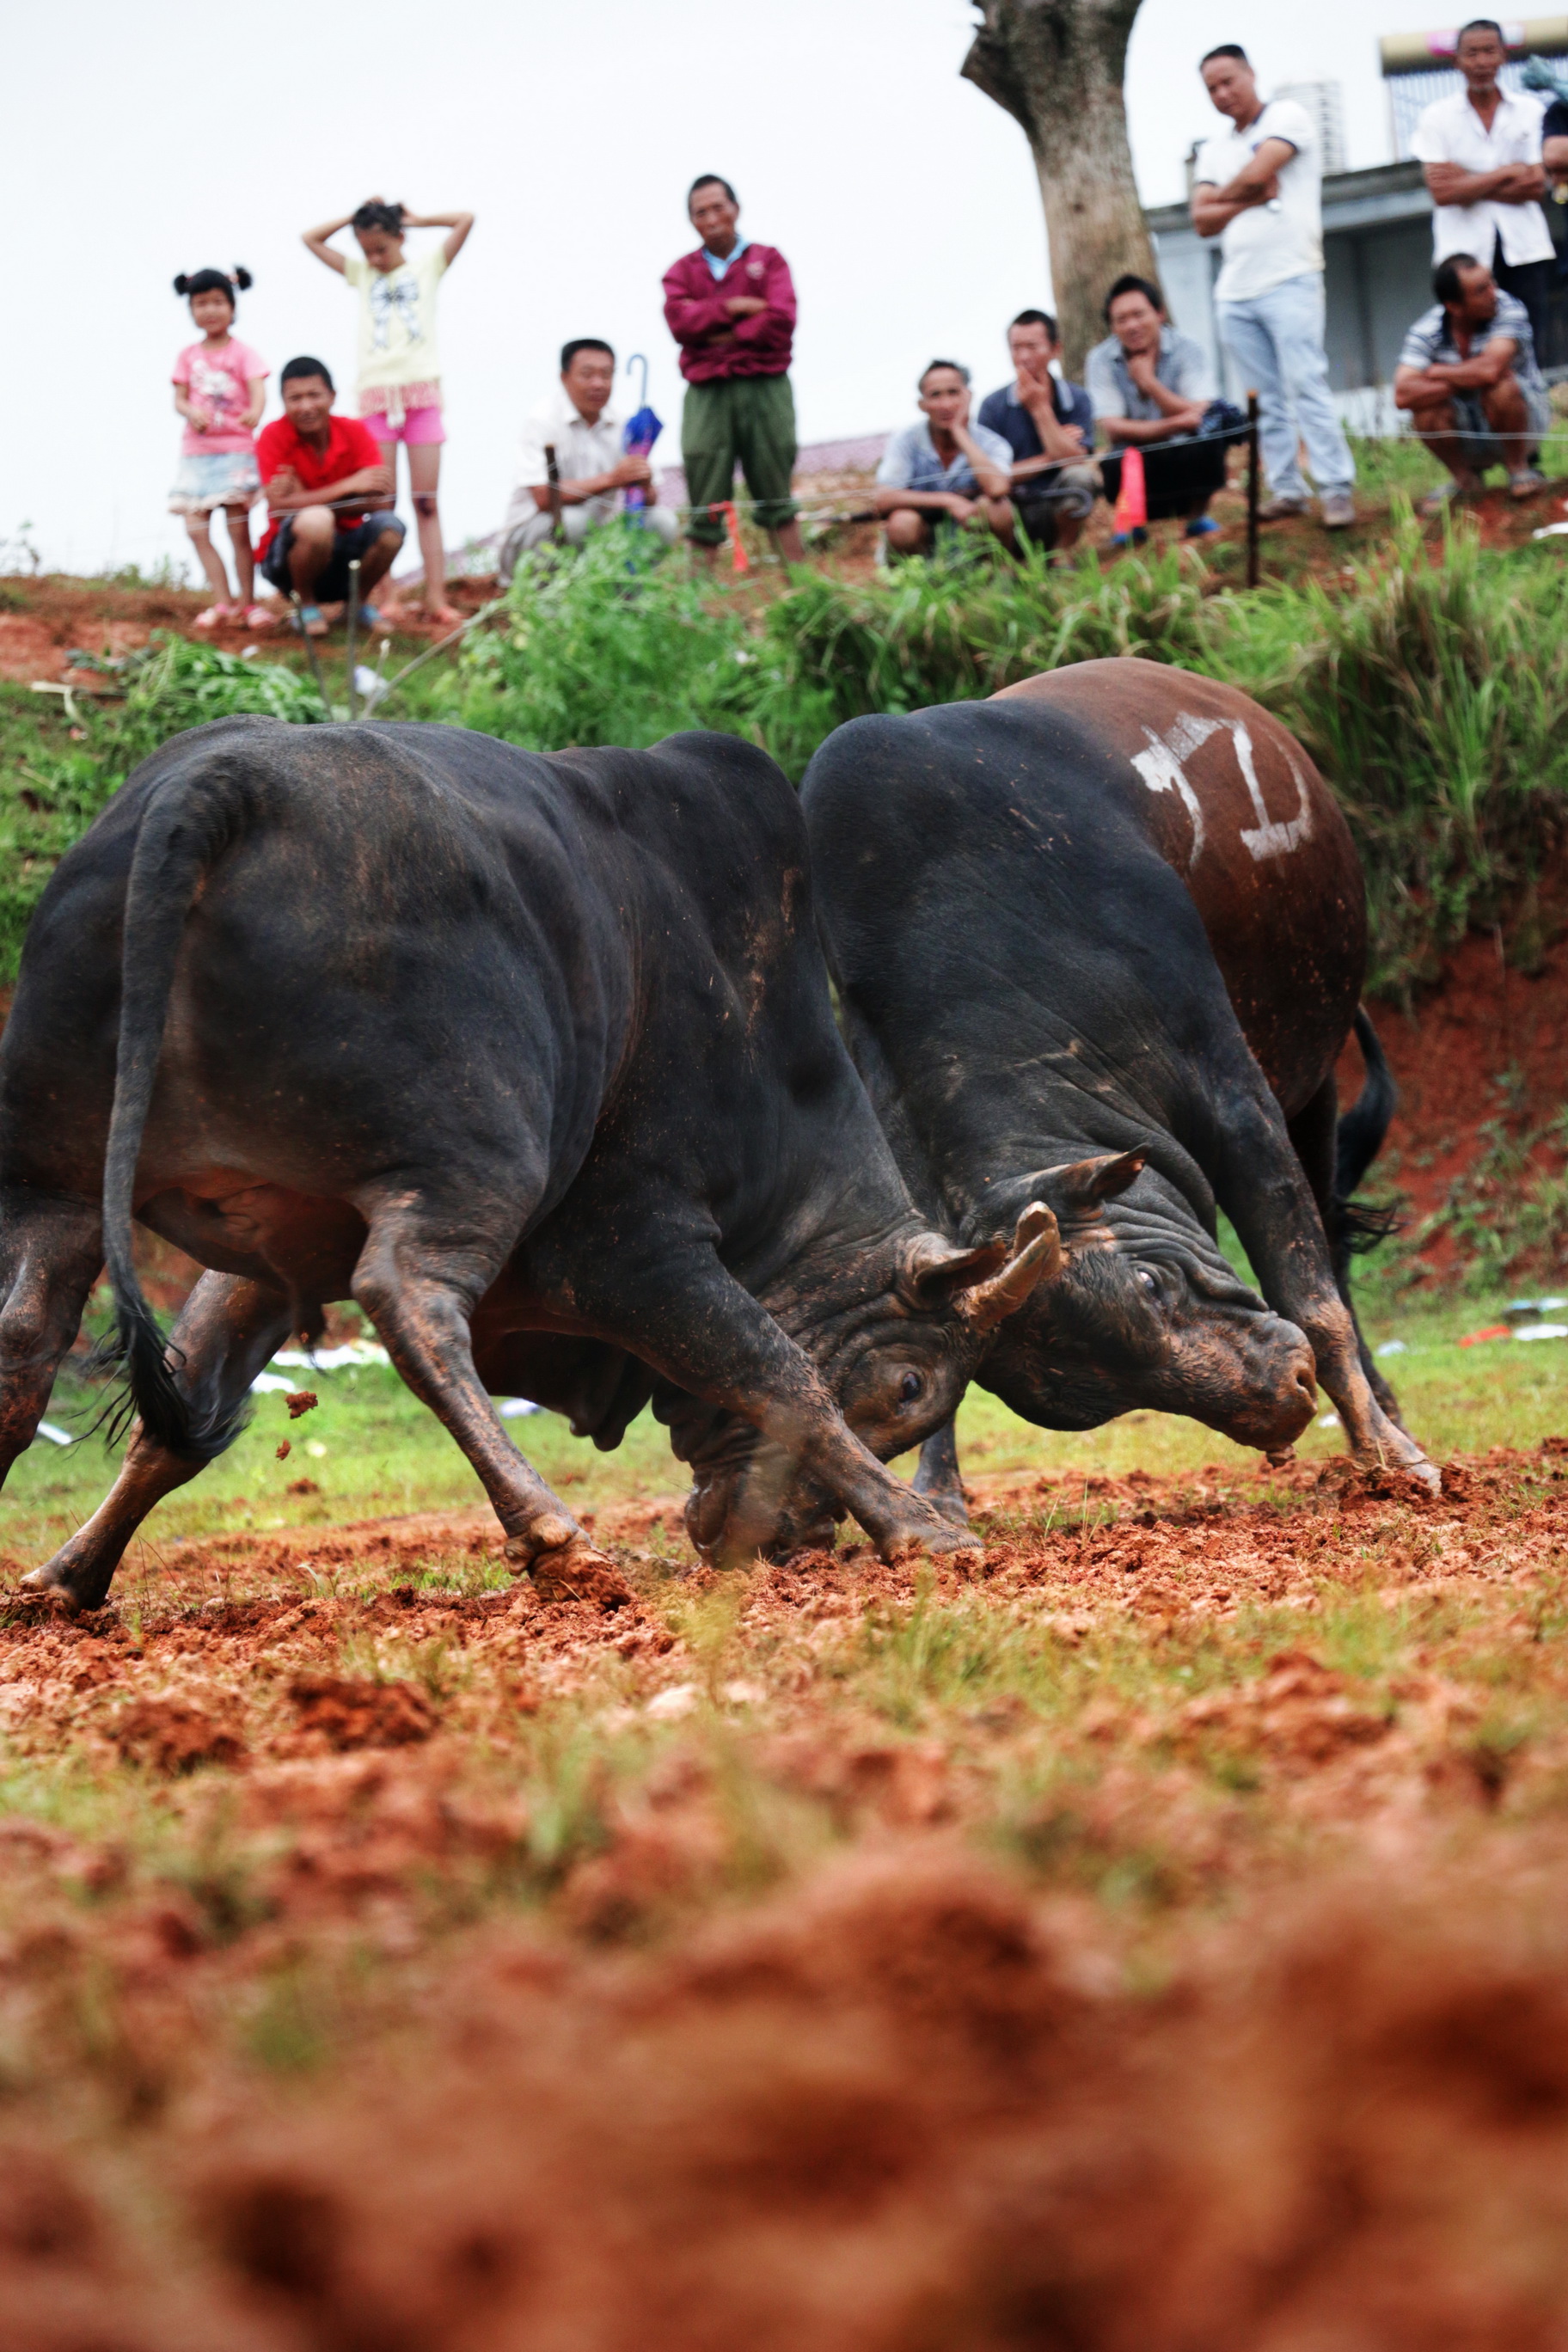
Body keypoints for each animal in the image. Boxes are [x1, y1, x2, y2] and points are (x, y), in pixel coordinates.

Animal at [0, 714, 1067, 1608]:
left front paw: (70, 1573)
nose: (790, 1541)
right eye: (907, 1389)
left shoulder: (270, 1250)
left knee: (25, 1337)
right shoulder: (630, 1240)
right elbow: (777, 1371)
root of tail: (217, 784)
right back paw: (556, 1534)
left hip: (60, 1185)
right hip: (481, 1163)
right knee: (412, 1301)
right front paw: (920, 1528)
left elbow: (179, 1421)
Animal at [804, 663, 1438, 1505]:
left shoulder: (1235, 1095)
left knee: (1331, 1244)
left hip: (1313, 1077)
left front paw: (1389, 1454)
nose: (1282, 1398)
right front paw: (938, 1488)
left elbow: (1311, 1288)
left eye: (1149, 1284)